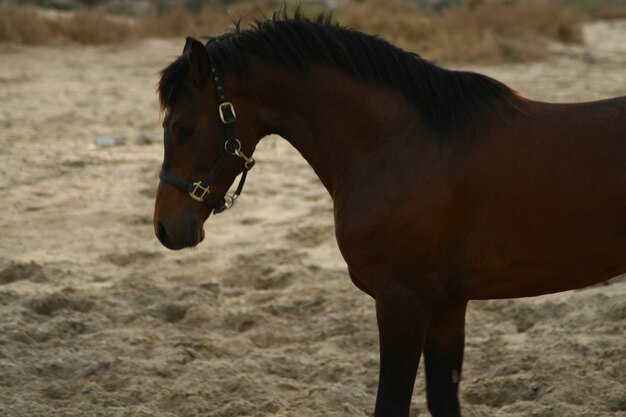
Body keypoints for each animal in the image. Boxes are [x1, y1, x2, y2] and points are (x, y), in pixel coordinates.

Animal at [151, 12, 624, 416]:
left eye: (183, 128)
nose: (165, 228)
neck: (399, 145)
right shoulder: (448, 304)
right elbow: (443, 399)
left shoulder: (401, 301)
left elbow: (392, 404)